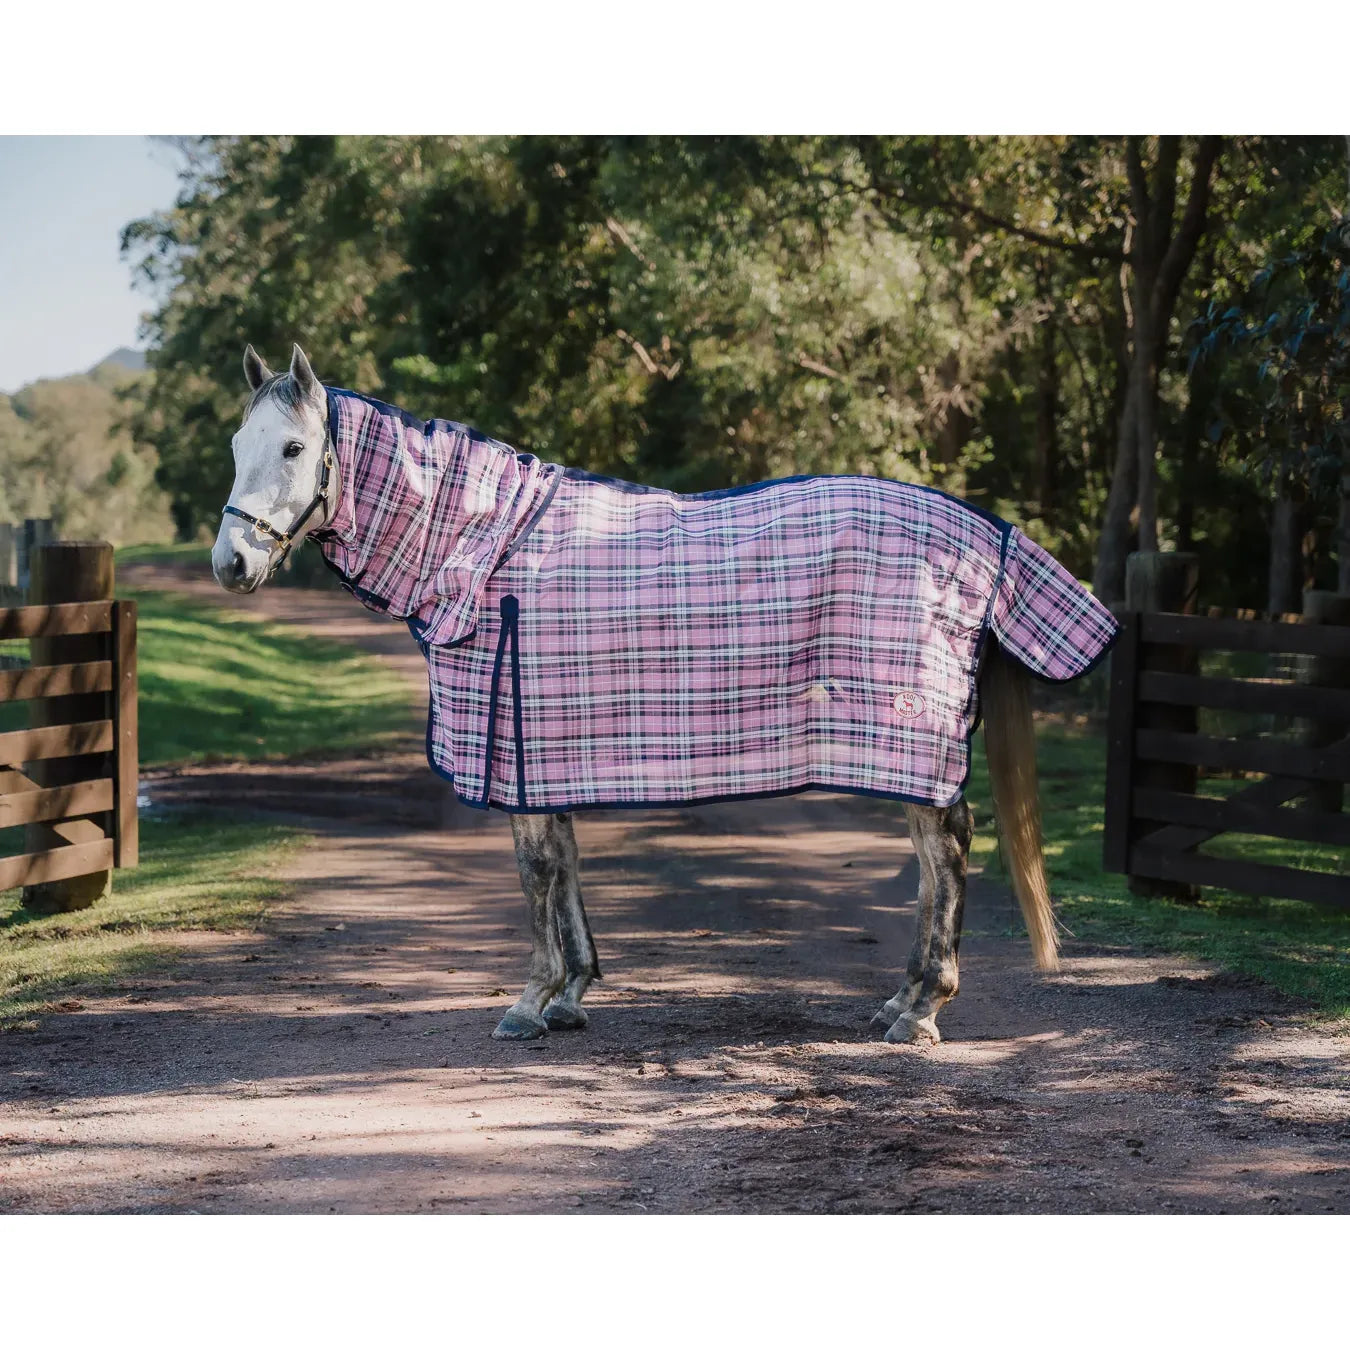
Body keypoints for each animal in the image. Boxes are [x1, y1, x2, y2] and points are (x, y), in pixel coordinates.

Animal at [213, 344, 1117, 1046]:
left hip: (912, 731)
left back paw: (924, 1009)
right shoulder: (547, 747)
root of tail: (983, 531)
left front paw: (530, 1001)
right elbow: (565, 864)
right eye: (235, 444)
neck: (485, 546)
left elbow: (536, 873)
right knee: (933, 857)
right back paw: (900, 999)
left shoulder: (516, 746)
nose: (230, 563)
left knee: (947, 851)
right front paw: (572, 993)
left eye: (292, 448)